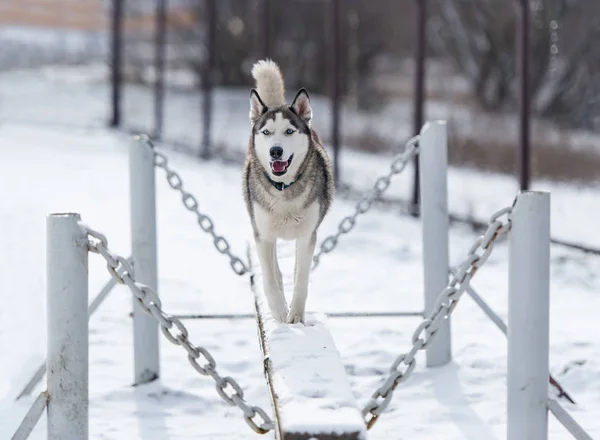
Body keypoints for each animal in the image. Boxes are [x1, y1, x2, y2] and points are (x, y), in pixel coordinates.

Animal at [245, 59, 338, 324]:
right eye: (266, 132)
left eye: (289, 131)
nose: (275, 151)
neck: (283, 189)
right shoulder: (263, 235)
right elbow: (269, 279)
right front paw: (278, 310)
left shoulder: (307, 236)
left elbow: (301, 279)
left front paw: (295, 315)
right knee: (275, 271)